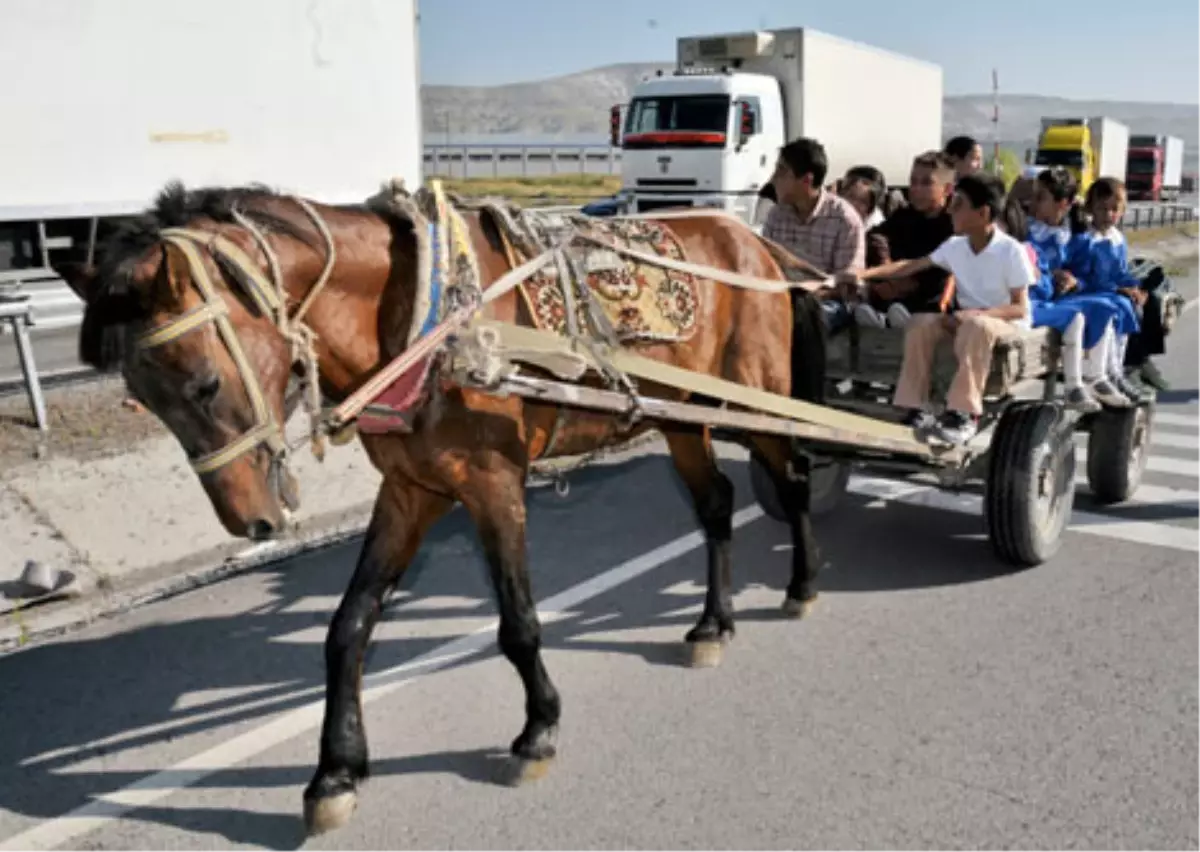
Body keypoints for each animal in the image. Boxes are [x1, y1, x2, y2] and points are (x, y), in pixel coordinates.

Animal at [63, 182, 835, 840]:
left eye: (205, 383)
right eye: (142, 397)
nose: (254, 522)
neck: (419, 316)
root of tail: (756, 244)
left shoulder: (493, 483)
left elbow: (518, 625)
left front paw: (537, 731)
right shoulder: (411, 491)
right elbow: (348, 627)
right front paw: (335, 772)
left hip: (757, 397)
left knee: (794, 480)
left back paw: (801, 585)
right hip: (684, 417)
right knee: (715, 504)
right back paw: (712, 624)